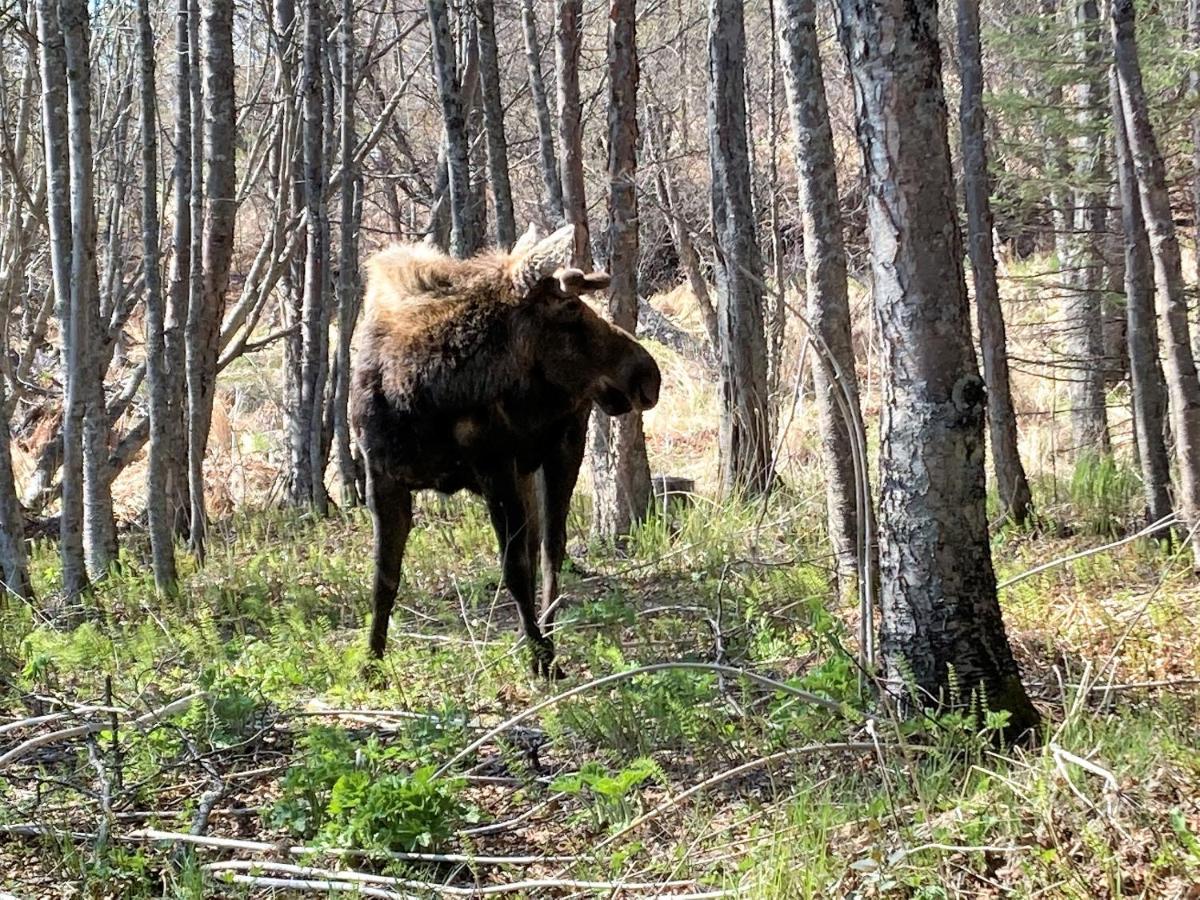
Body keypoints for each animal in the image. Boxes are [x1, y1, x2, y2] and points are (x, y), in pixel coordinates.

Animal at [348, 224, 667, 676]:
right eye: (570, 309)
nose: (647, 374)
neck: (416, 396)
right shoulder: (383, 476)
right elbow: (383, 577)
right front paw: (371, 663)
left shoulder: (494, 466)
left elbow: (514, 568)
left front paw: (543, 658)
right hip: (528, 466)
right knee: (537, 545)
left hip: (564, 445)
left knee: (551, 547)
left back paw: (544, 639)